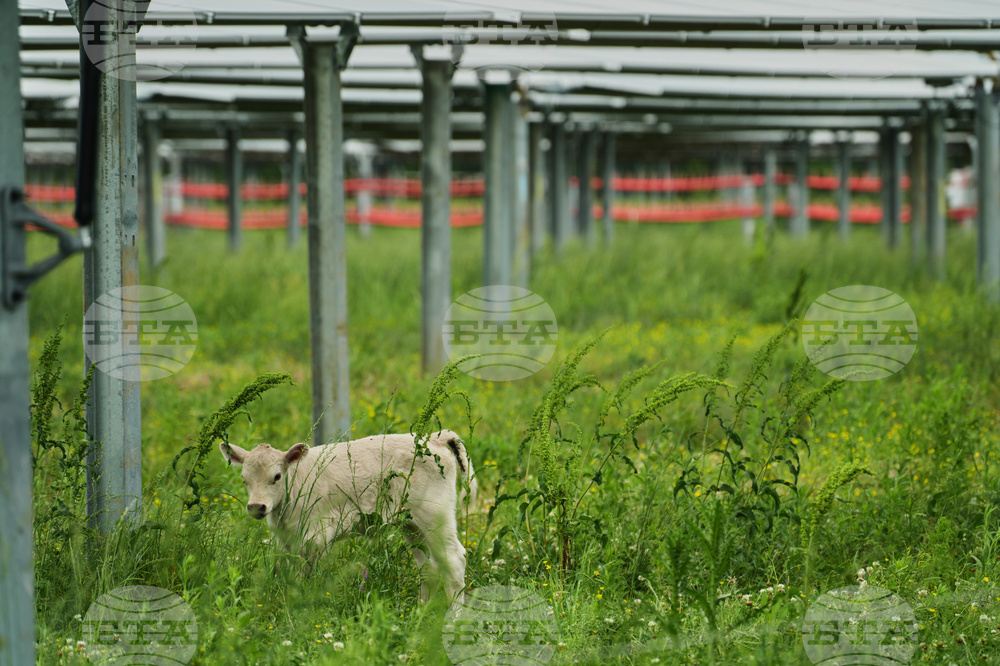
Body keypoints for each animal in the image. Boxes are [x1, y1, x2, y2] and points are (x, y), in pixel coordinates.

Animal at [220, 430, 475, 601]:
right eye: (244, 479)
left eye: (276, 477)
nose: (256, 506)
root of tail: (435, 438)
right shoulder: (286, 541)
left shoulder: (317, 536)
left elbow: (309, 574)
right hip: (411, 524)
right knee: (428, 566)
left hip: (435, 516)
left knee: (454, 561)